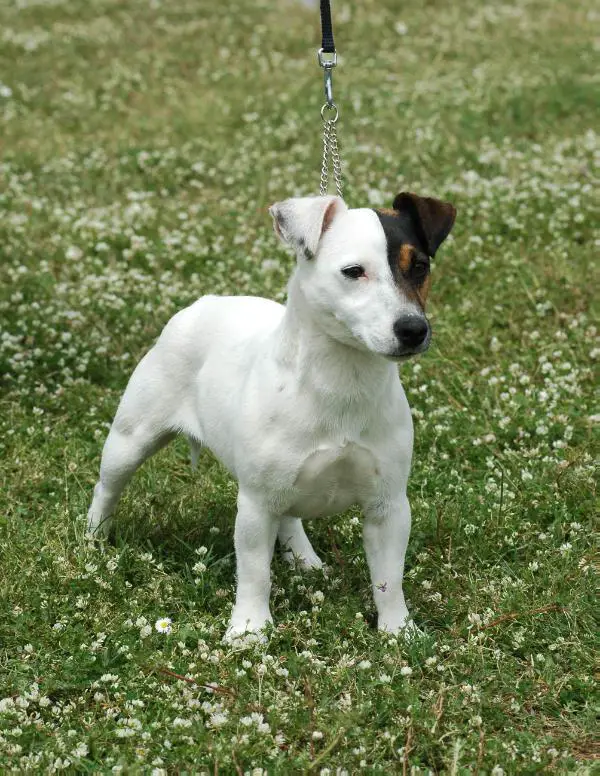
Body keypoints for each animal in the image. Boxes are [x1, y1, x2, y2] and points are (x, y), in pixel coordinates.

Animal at [86, 191, 458, 640]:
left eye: (419, 266)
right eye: (354, 272)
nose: (413, 329)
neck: (341, 379)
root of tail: (204, 303)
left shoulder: (388, 506)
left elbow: (389, 578)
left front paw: (398, 631)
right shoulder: (256, 505)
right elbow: (254, 572)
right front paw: (248, 630)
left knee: (289, 517)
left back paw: (303, 558)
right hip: (131, 439)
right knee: (108, 487)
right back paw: (93, 540)